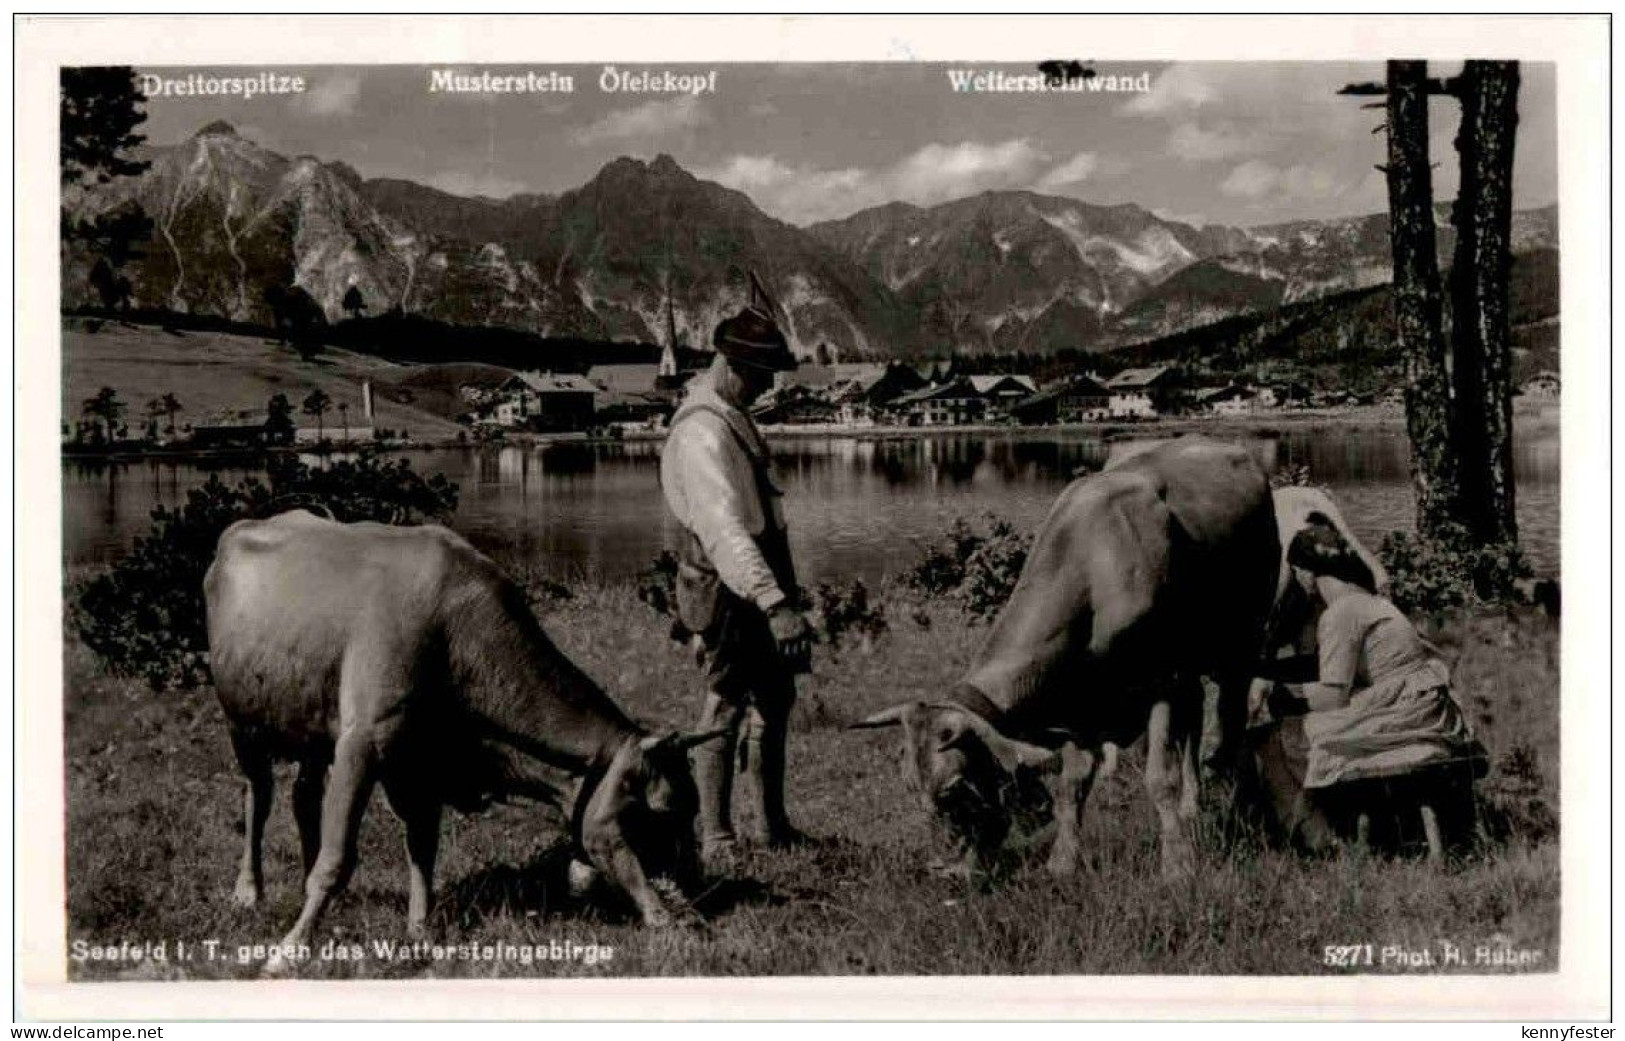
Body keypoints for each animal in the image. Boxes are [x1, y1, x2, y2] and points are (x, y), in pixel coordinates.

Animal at [203, 510, 723, 973]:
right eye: (658, 811)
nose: (691, 912)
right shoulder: (362, 743)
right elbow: (338, 859)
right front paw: (288, 951)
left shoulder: (421, 758)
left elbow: (422, 846)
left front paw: (420, 932)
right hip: (242, 722)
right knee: (259, 797)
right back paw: (248, 891)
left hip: (310, 724)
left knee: (303, 796)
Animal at [851, 437, 1280, 880]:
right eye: (908, 784)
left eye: (955, 785)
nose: (945, 870)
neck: (1094, 568)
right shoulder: (1079, 704)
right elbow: (1071, 785)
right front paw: (1062, 862)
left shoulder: (1162, 679)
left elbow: (1160, 778)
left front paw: (1177, 864)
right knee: (1194, 715)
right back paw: (1193, 806)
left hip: (1240, 638)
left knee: (1228, 713)